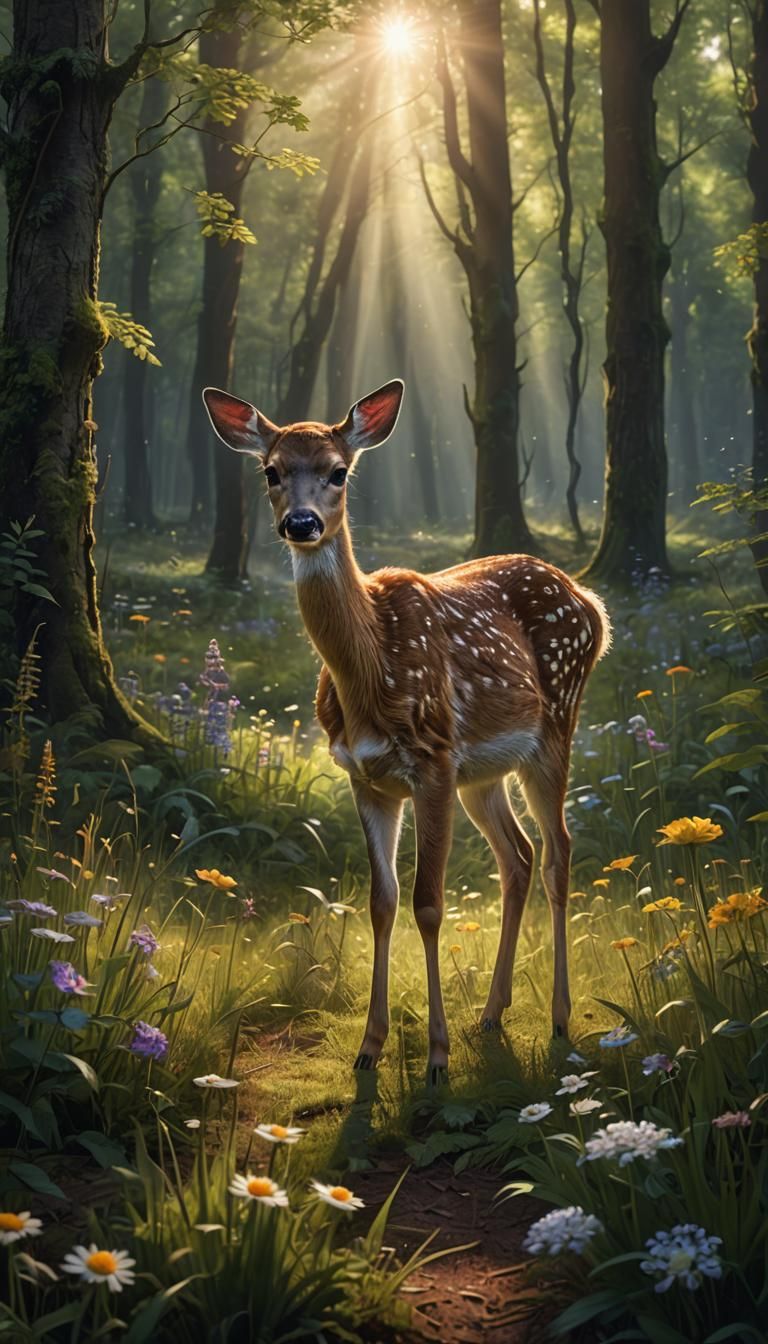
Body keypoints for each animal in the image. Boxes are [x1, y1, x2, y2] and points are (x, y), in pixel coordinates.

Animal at [203, 379, 611, 1083]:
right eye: (271, 471)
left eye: (339, 471)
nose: (301, 523)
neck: (372, 668)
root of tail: (593, 604)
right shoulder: (366, 776)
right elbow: (382, 901)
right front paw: (370, 1048)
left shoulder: (433, 761)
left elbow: (428, 902)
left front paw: (437, 1057)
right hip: (484, 772)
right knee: (518, 857)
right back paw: (492, 1013)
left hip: (555, 724)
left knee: (558, 850)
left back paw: (559, 1017)